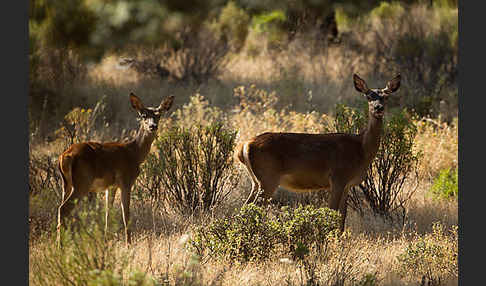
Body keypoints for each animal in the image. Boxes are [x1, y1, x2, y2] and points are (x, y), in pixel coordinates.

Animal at [57, 92, 175, 246]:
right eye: (143, 115)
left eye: (159, 115)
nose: (152, 126)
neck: (134, 153)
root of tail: (65, 156)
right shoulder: (126, 181)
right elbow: (126, 215)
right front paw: (128, 244)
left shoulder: (110, 186)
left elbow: (108, 213)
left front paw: (106, 240)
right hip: (82, 183)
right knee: (63, 209)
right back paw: (60, 246)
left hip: (66, 184)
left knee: (61, 208)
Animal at [234, 73, 398, 230]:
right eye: (368, 96)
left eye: (386, 96)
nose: (378, 108)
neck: (361, 150)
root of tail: (244, 146)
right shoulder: (338, 177)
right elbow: (332, 211)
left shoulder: (347, 185)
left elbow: (342, 217)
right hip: (268, 178)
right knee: (252, 208)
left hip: (256, 181)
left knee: (245, 208)